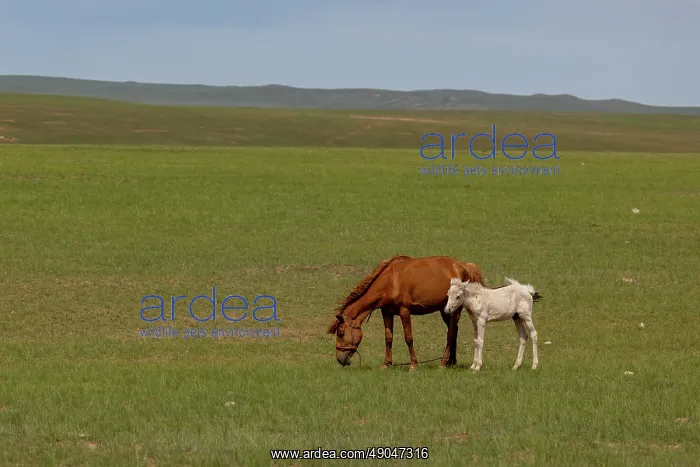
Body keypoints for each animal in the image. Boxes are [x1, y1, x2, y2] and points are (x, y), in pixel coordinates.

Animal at [326, 255, 485, 370]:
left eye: (341, 333)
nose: (340, 359)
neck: (389, 282)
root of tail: (464, 266)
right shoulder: (387, 313)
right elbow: (388, 338)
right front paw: (386, 364)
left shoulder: (404, 312)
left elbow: (408, 338)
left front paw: (413, 364)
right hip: (445, 310)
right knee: (453, 331)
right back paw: (451, 361)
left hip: (455, 310)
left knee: (451, 333)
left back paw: (443, 363)